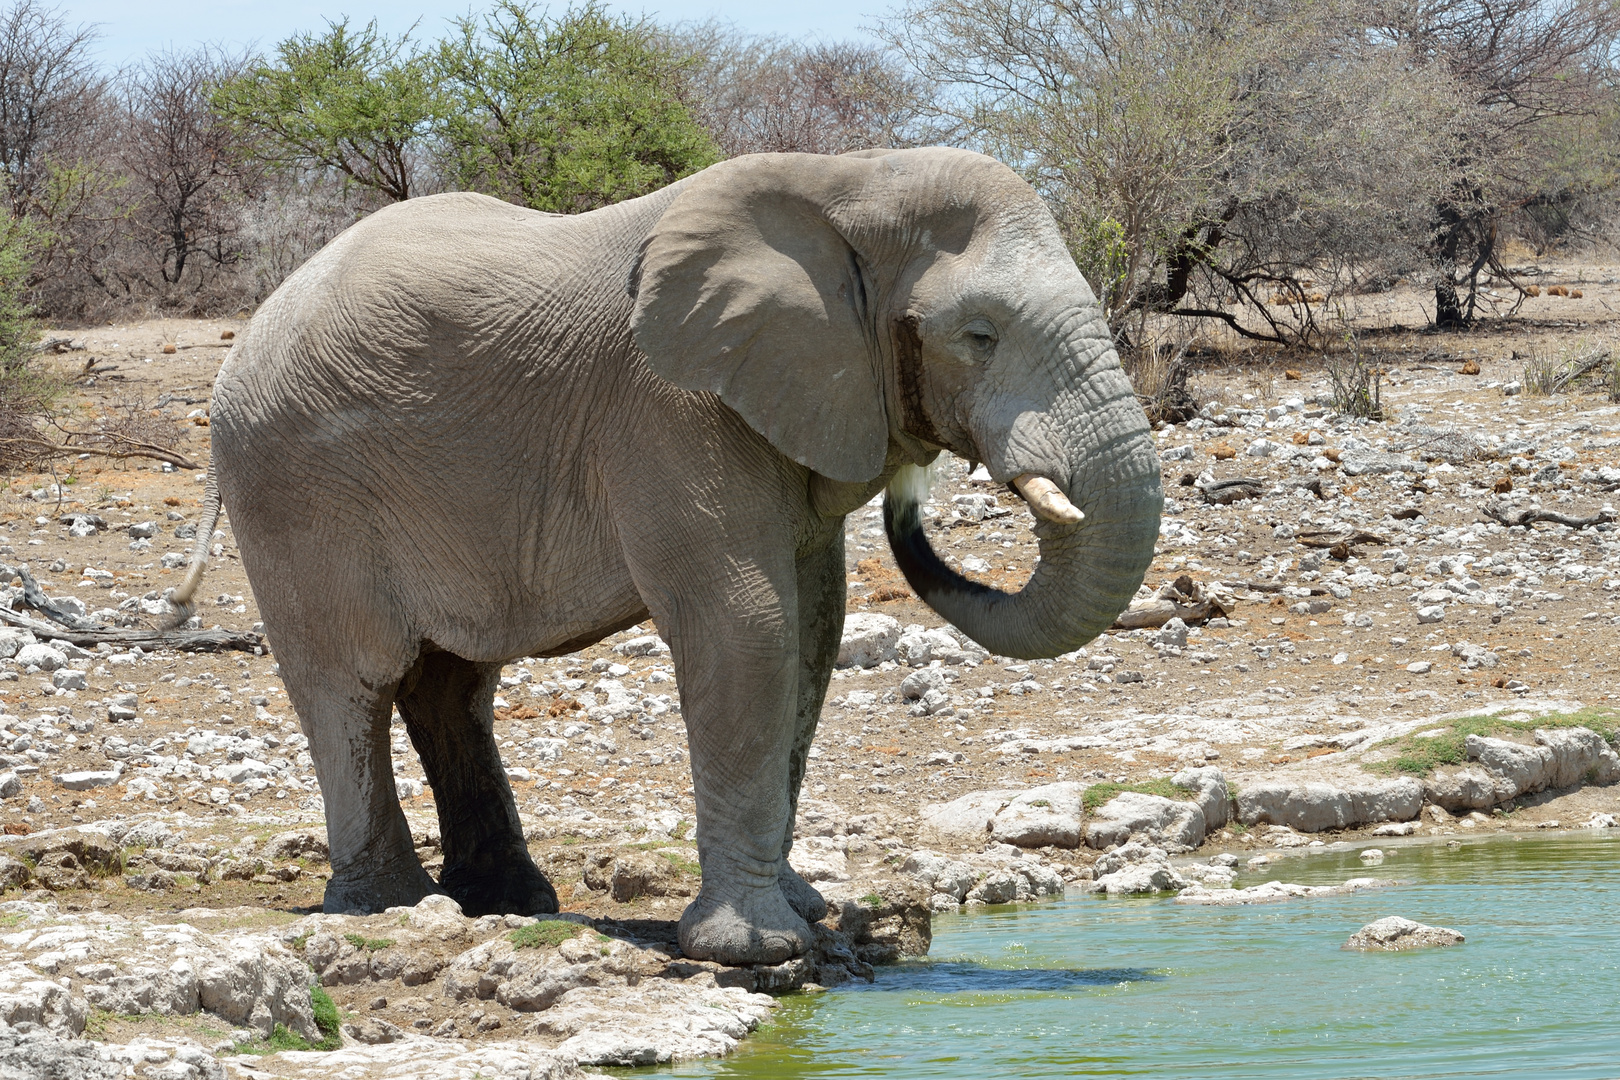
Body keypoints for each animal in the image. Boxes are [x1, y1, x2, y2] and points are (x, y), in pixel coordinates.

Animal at [167, 148, 1166, 965]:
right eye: (979, 335)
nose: (918, 495)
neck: (848, 179)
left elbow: (814, 630)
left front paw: (810, 914)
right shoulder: (670, 407)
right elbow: (747, 624)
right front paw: (758, 951)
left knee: (450, 684)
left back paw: (506, 902)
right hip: (292, 485)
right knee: (353, 683)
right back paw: (389, 907)